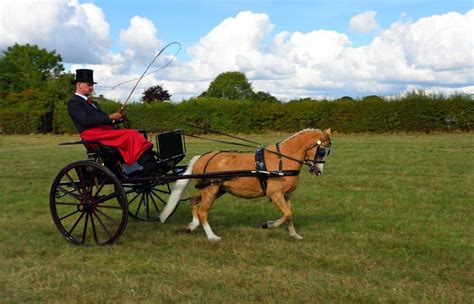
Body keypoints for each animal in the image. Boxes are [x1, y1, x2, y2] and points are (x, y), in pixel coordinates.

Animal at [186, 128, 334, 242]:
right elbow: (287, 213)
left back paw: (192, 226)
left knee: (194, 201)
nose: (319, 171)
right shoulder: (275, 194)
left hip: (217, 190)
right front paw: (269, 225)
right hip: (210, 190)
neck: (282, 161)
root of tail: (200, 158)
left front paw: (294, 235)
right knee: (202, 212)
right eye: (322, 151)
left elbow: (289, 214)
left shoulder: (286, 195)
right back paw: (212, 237)